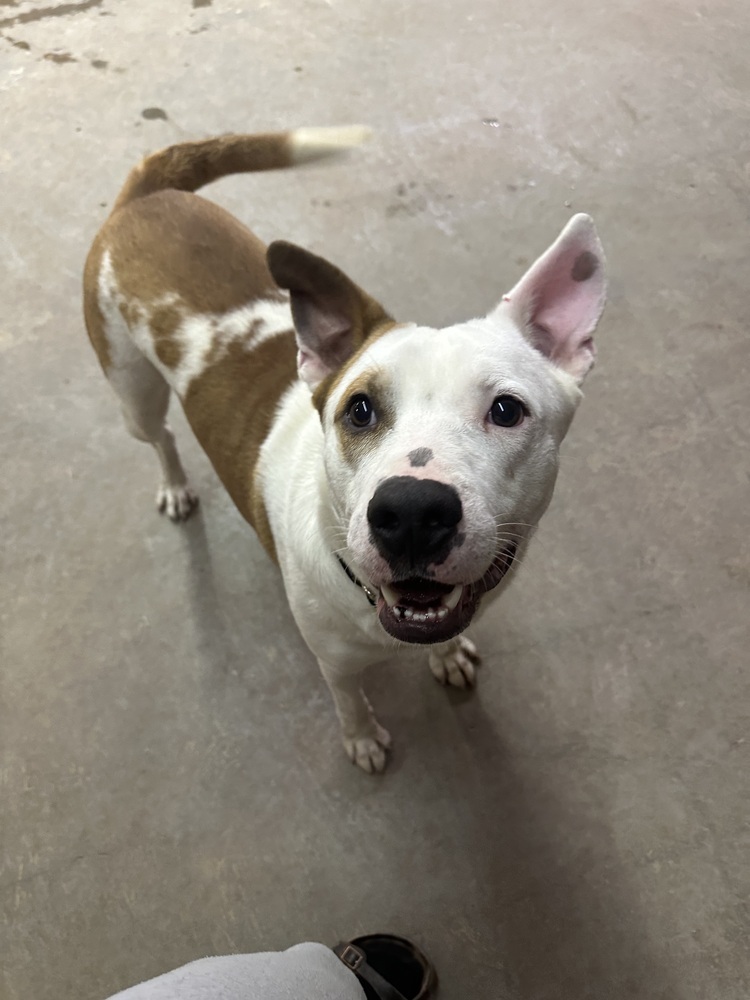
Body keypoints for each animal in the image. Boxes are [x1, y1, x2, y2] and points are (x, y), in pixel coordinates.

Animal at [85, 127, 608, 772]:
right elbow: (350, 700)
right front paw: (362, 740)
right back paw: (177, 487)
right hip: (133, 394)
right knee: (159, 437)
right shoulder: (332, 663)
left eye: (507, 410)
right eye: (359, 410)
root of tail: (148, 195)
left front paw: (449, 655)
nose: (412, 512)